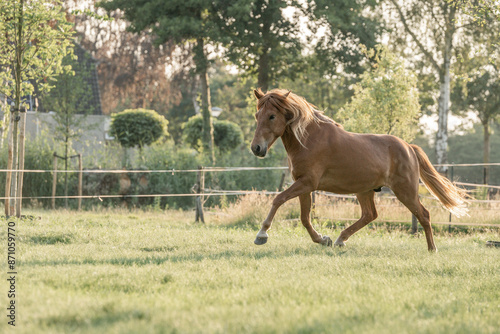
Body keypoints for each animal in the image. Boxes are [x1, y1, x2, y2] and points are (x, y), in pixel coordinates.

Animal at [250, 88, 468, 250]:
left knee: (423, 215)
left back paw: (432, 249)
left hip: (405, 191)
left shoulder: (307, 183)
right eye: (257, 115)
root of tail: (409, 147)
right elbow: (304, 218)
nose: (256, 148)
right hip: (365, 190)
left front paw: (262, 235)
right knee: (370, 215)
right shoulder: (304, 185)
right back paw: (340, 240)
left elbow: (278, 199)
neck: (309, 139)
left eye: (271, 116)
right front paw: (323, 239)